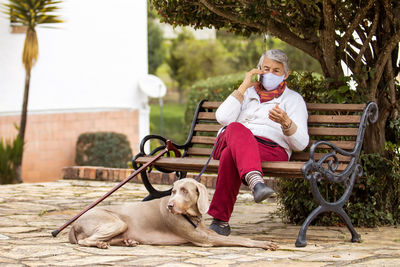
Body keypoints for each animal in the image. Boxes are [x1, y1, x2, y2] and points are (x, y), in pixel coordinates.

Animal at [68, 178, 278, 251]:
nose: (170, 205)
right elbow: (239, 240)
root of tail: (74, 223)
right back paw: (101, 244)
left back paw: (128, 241)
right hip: (117, 223)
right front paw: (263, 243)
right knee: (84, 241)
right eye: (173, 191)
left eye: (184, 191)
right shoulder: (204, 239)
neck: (191, 216)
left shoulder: (207, 233)